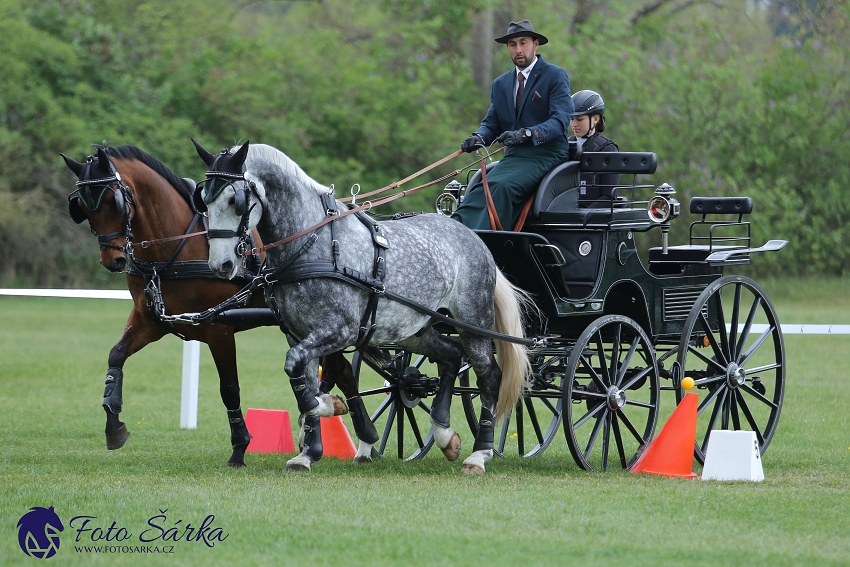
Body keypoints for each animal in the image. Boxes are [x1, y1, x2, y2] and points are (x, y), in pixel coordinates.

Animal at [59, 146, 364, 466]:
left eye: (113, 201)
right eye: (83, 206)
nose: (113, 259)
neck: (176, 249)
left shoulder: (219, 328)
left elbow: (229, 388)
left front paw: (240, 447)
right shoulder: (151, 320)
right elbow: (115, 356)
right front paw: (113, 423)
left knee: (339, 371)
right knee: (341, 371)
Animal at [192, 142, 528, 474]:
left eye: (234, 199)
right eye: (203, 199)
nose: (221, 265)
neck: (312, 245)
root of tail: (473, 238)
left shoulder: (341, 330)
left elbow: (301, 373)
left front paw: (329, 406)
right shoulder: (297, 334)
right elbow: (302, 378)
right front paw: (308, 452)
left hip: (474, 323)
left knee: (489, 377)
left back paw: (479, 453)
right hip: (412, 331)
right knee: (451, 356)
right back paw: (445, 434)